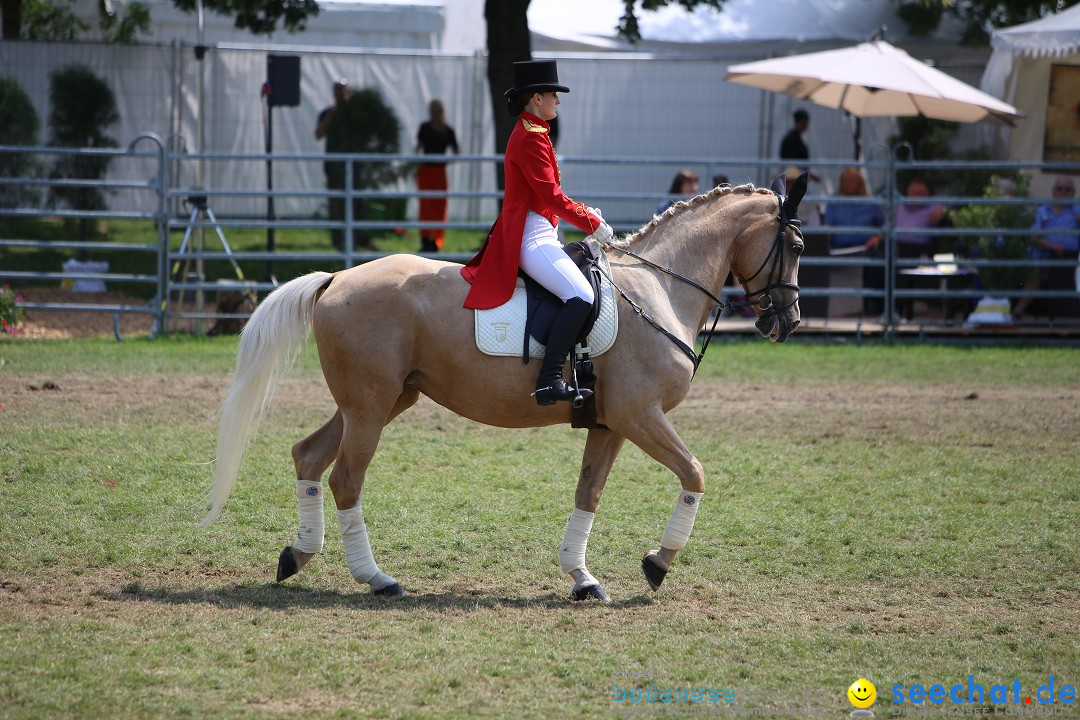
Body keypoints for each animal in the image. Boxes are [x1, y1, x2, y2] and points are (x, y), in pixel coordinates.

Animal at [204, 174, 812, 604]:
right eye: (799, 245)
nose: (788, 322)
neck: (658, 288)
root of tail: (336, 279)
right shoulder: (641, 415)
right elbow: (695, 474)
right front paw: (657, 564)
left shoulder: (611, 424)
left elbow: (588, 494)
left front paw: (582, 578)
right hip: (371, 408)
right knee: (345, 480)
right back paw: (377, 578)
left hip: (378, 402)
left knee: (308, 455)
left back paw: (297, 556)